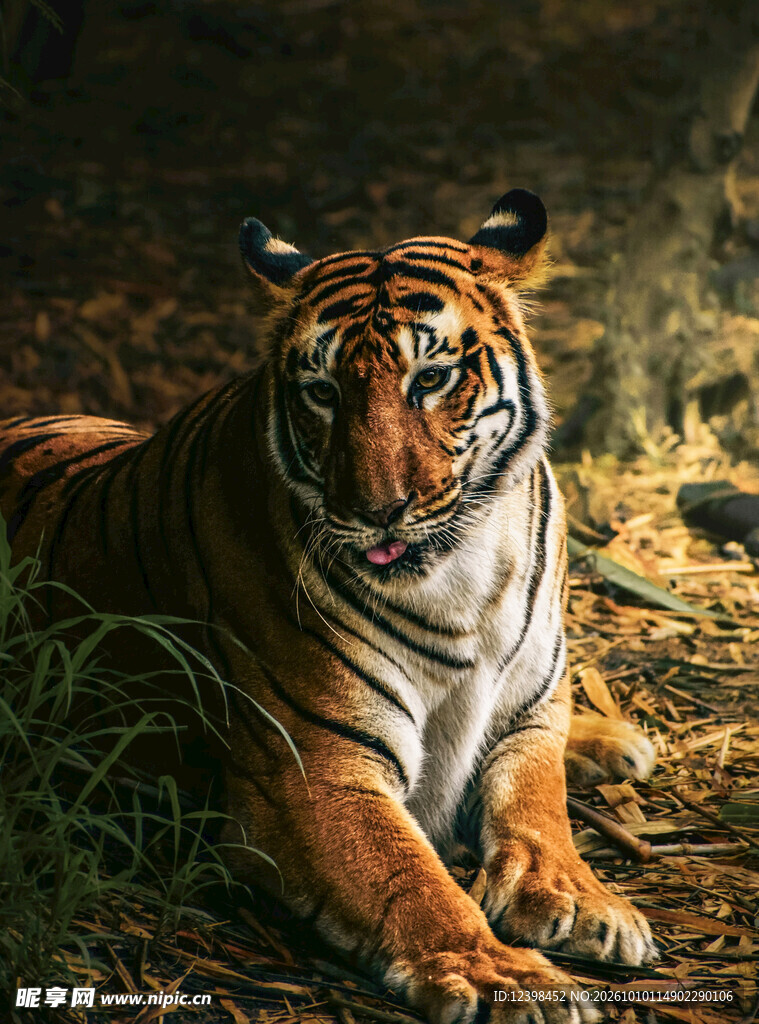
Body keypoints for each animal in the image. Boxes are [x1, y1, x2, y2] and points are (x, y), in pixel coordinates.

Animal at [0, 189, 657, 1024]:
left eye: (430, 379)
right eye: (323, 393)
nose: (377, 511)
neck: (464, 576)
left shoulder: (529, 711)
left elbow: (540, 809)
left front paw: (580, 899)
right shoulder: (317, 766)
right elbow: (412, 882)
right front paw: (506, 979)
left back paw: (615, 740)